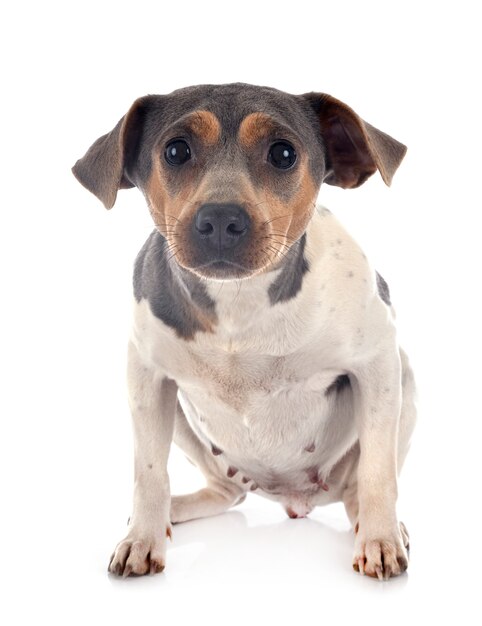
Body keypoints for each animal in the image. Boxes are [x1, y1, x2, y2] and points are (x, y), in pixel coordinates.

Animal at [73, 80, 416, 576]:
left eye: (283, 154)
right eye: (176, 151)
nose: (220, 219)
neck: (240, 301)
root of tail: (293, 497)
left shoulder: (378, 363)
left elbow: (377, 471)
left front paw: (381, 540)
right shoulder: (146, 378)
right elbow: (149, 473)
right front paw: (142, 538)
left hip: (404, 382)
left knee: (358, 490)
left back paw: (379, 526)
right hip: (187, 425)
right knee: (227, 492)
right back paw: (170, 513)